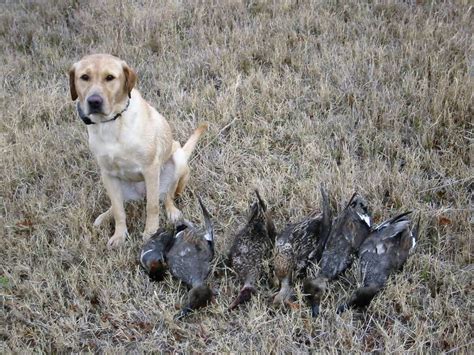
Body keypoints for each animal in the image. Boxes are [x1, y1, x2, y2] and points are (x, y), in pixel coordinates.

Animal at [69, 54, 206, 249]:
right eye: (84, 77)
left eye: (110, 77)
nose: (94, 101)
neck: (112, 123)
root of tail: (141, 193)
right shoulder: (108, 174)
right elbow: (119, 211)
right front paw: (119, 235)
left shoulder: (150, 169)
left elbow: (152, 207)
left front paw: (150, 232)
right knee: (117, 204)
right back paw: (104, 216)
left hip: (177, 160)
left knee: (167, 196)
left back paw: (172, 211)